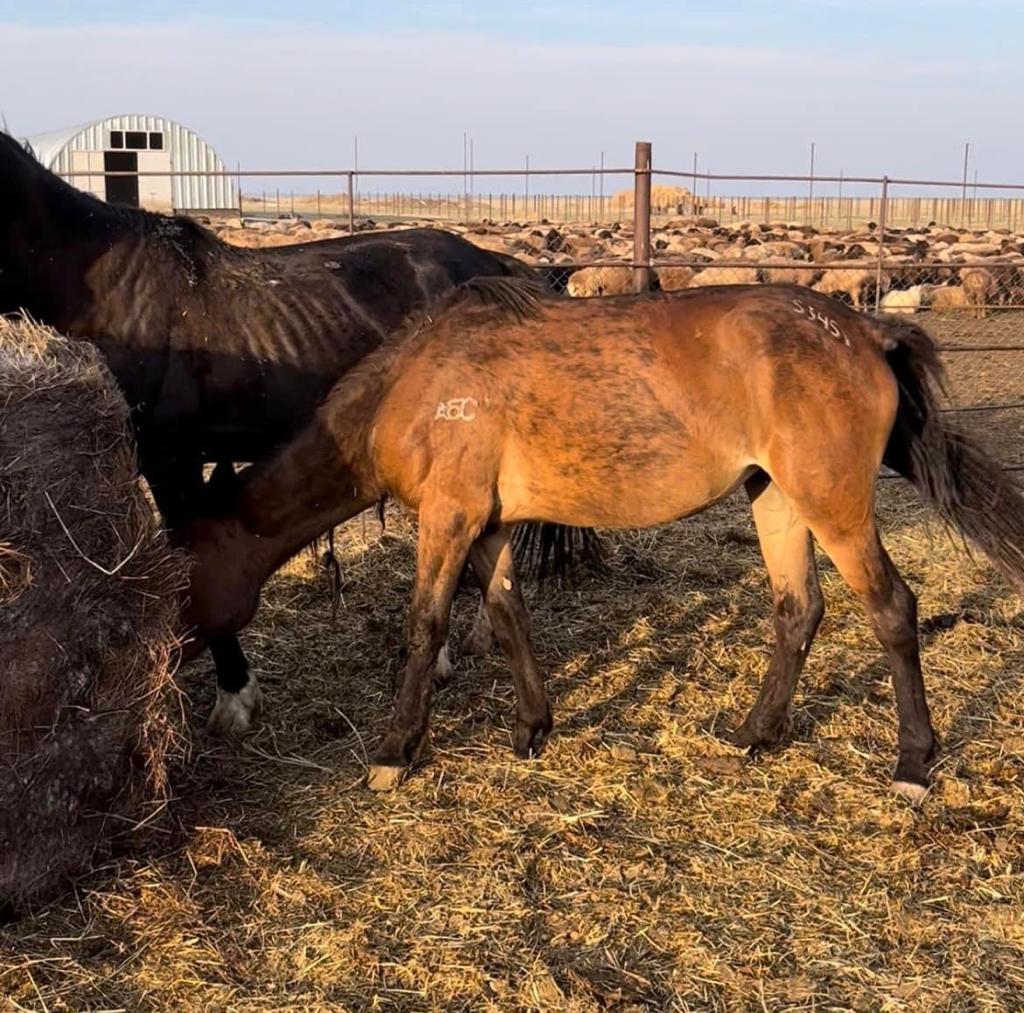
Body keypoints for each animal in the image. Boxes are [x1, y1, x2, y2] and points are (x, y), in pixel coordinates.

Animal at [182, 278, 1024, 798]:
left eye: (184, 563)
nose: (184, 658)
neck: (417, 383)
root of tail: (864, 332)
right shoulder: (487, 526)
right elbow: (507, 615)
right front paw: (532, 726)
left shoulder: (449, 518)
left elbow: (425, 625)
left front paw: (394, 752)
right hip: (777, 497)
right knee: (797, 609)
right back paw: (754, 733)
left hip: (832, 504)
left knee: (892, 610)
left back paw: (912, 762)